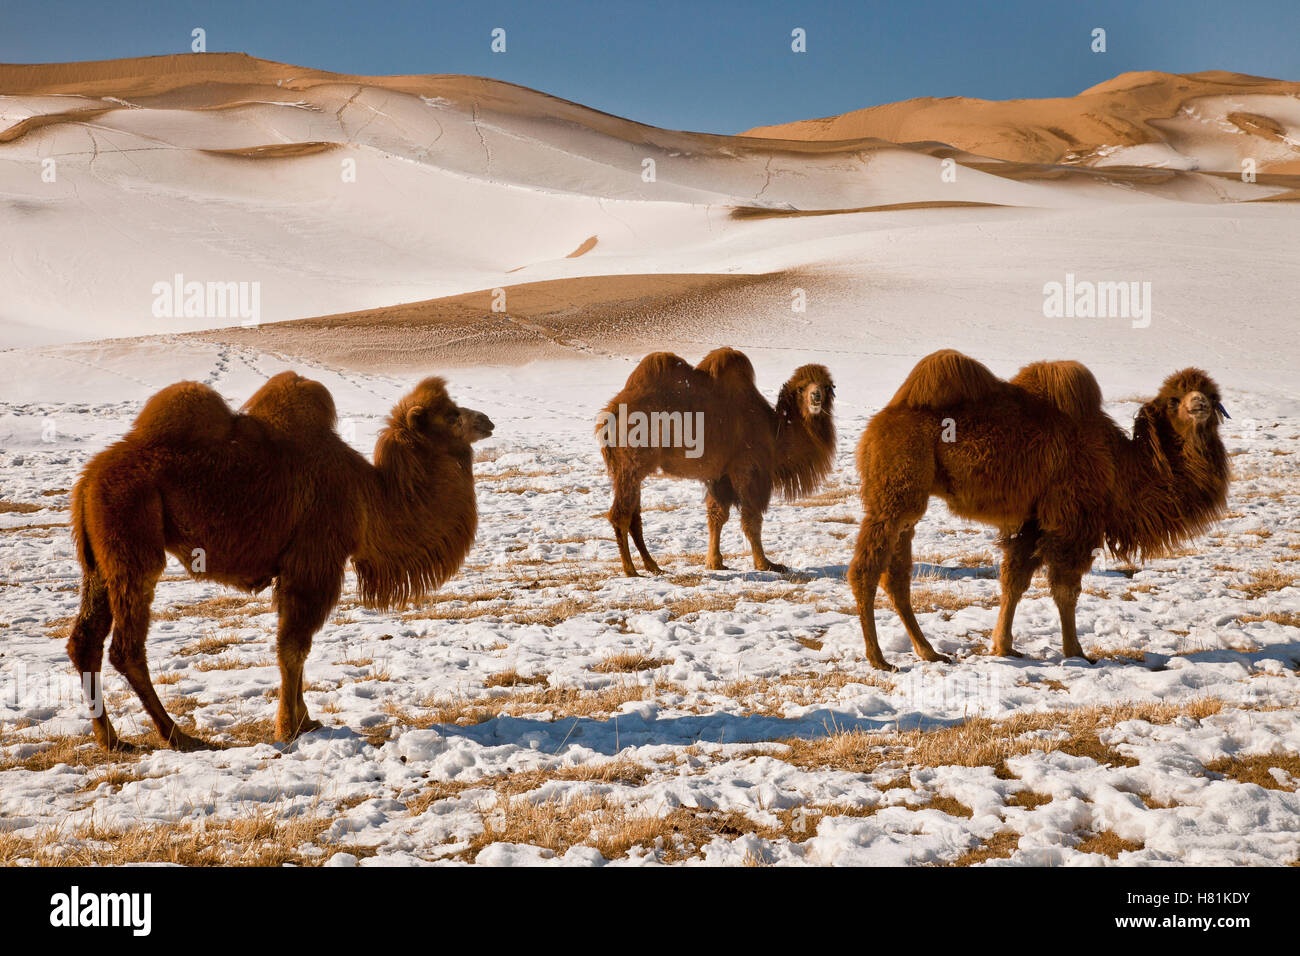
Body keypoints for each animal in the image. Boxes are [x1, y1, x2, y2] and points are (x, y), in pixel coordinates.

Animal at [66, 371, 492, 751]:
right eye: (451, 414)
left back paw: (112, 740)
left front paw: (307, 720)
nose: (486, 421)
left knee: (85, 641)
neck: (370, 495)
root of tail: (87, 480)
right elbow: (294, 645)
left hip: (98, 561)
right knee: (126, 647)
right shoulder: (315, 560)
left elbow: (296, 646)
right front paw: (290, 727)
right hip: (133, 544)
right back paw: (178, 736)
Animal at [598, 348, 835, 576]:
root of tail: (611, 414)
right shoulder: (748, 470)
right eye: (801, 388)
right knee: (620, 515)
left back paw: (653, 566)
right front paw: (766, 564)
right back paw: (631, 571)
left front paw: (715, 562)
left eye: (826, 386)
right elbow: (752, 520)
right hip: (631, 465)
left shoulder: (721, 476)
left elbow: (717, 516)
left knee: (634, 517)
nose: (816, 396)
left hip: (630, 471)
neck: (774, 431)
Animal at [849, 350, 1230, 669]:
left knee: (896, 574)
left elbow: (1014, 579)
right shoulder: (1072, 519)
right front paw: (1077, 653)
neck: (1119, 465)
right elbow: (1066, 589)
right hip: (895, 489)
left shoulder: (1034, 520)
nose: (1199, 405)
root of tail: (881, 421)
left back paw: (928, 652)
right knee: (866, 570)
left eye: (1212, 395)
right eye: (1174, 400)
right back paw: (879, 659)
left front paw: (1003, 646)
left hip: (907, 499)